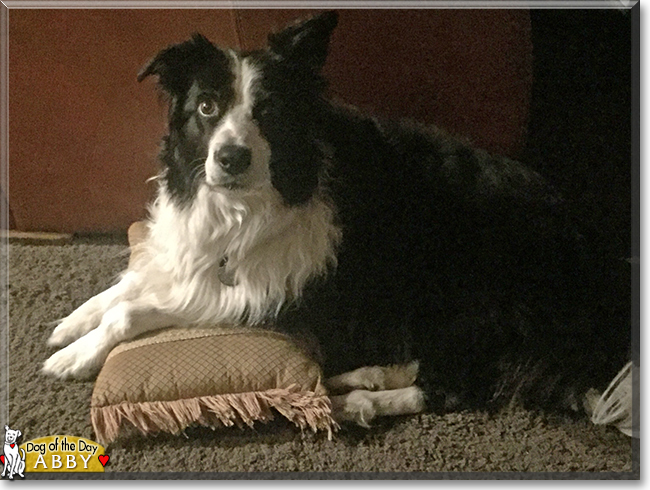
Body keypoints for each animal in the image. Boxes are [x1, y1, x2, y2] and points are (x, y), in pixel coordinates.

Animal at [43, 10, 632, 424]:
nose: (231, 158)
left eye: (270, 110)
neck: (245, 203)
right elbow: (129, 282)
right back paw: (361, 377)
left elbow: (132, 311)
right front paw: (70, 325)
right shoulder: (187, 252)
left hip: (459, 284)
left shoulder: (261, 294)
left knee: (463, 384)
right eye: (206, 108)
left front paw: (75, 356)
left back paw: (358, 402)